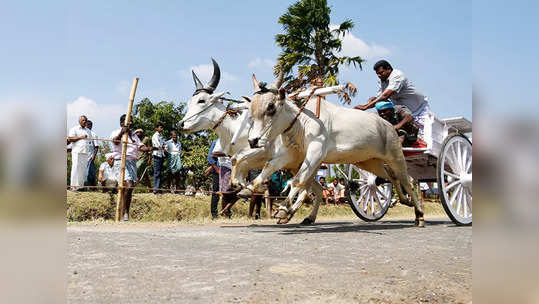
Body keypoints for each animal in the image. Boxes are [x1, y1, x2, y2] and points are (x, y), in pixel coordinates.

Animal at [246, 73, 426, 226]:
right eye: (251, 110)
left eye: (271, 107)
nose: (252, 140)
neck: (302, 121)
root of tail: (389, 126)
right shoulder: (291, 154)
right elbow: (269, 167)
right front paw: (248, 188)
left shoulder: (316, 153)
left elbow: (298, 180)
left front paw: (283, 209)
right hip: (369, 162)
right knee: (391, 178)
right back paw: (406, 201)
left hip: (396, 157)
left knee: (407, 181)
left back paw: (419, 215)